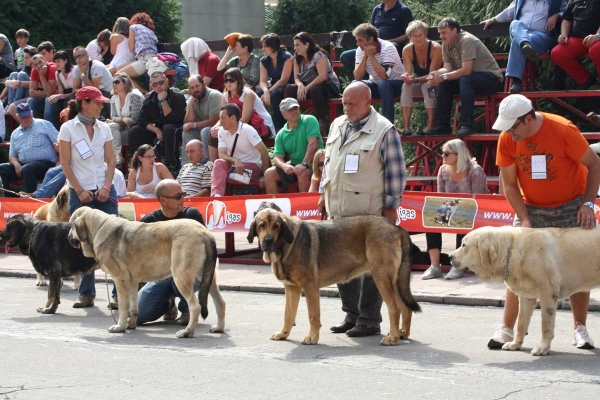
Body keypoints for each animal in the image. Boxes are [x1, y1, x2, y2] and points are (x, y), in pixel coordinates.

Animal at [66, 206, 225, 338]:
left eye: (71, 225)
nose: (67, 237)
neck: (98, 227)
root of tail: (204, 233)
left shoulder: (120, 280)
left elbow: (123, 307)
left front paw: (120, 327)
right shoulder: (132, 282)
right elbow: (133, 307)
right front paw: (130, 325)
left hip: (181, 277)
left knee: (195, 306)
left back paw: (187, 332)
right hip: (207, 278)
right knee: (220, 302)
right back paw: (219, 328)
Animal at [246, 208, 420, 346]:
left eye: (276, 227)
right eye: (262, 225)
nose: (268, 241)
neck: (283, 246)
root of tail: (397, 228)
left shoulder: (310, 287)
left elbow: (313, 315)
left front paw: (312, 337)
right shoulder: (291, 288)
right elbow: (288, 314)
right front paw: (283, 334)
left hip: (382, 277)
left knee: (394, 308)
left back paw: (393, 338)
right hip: (395, 281)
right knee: (405, 307)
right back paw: (403, 333)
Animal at [450, 225, 600, 356]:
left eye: (464, 245)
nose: (450, 256)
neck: (511, 251)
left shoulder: (548, 295)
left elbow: (546, 325)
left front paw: (542, 348)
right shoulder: (526, 297)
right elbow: (521, 324)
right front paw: (515, 344)